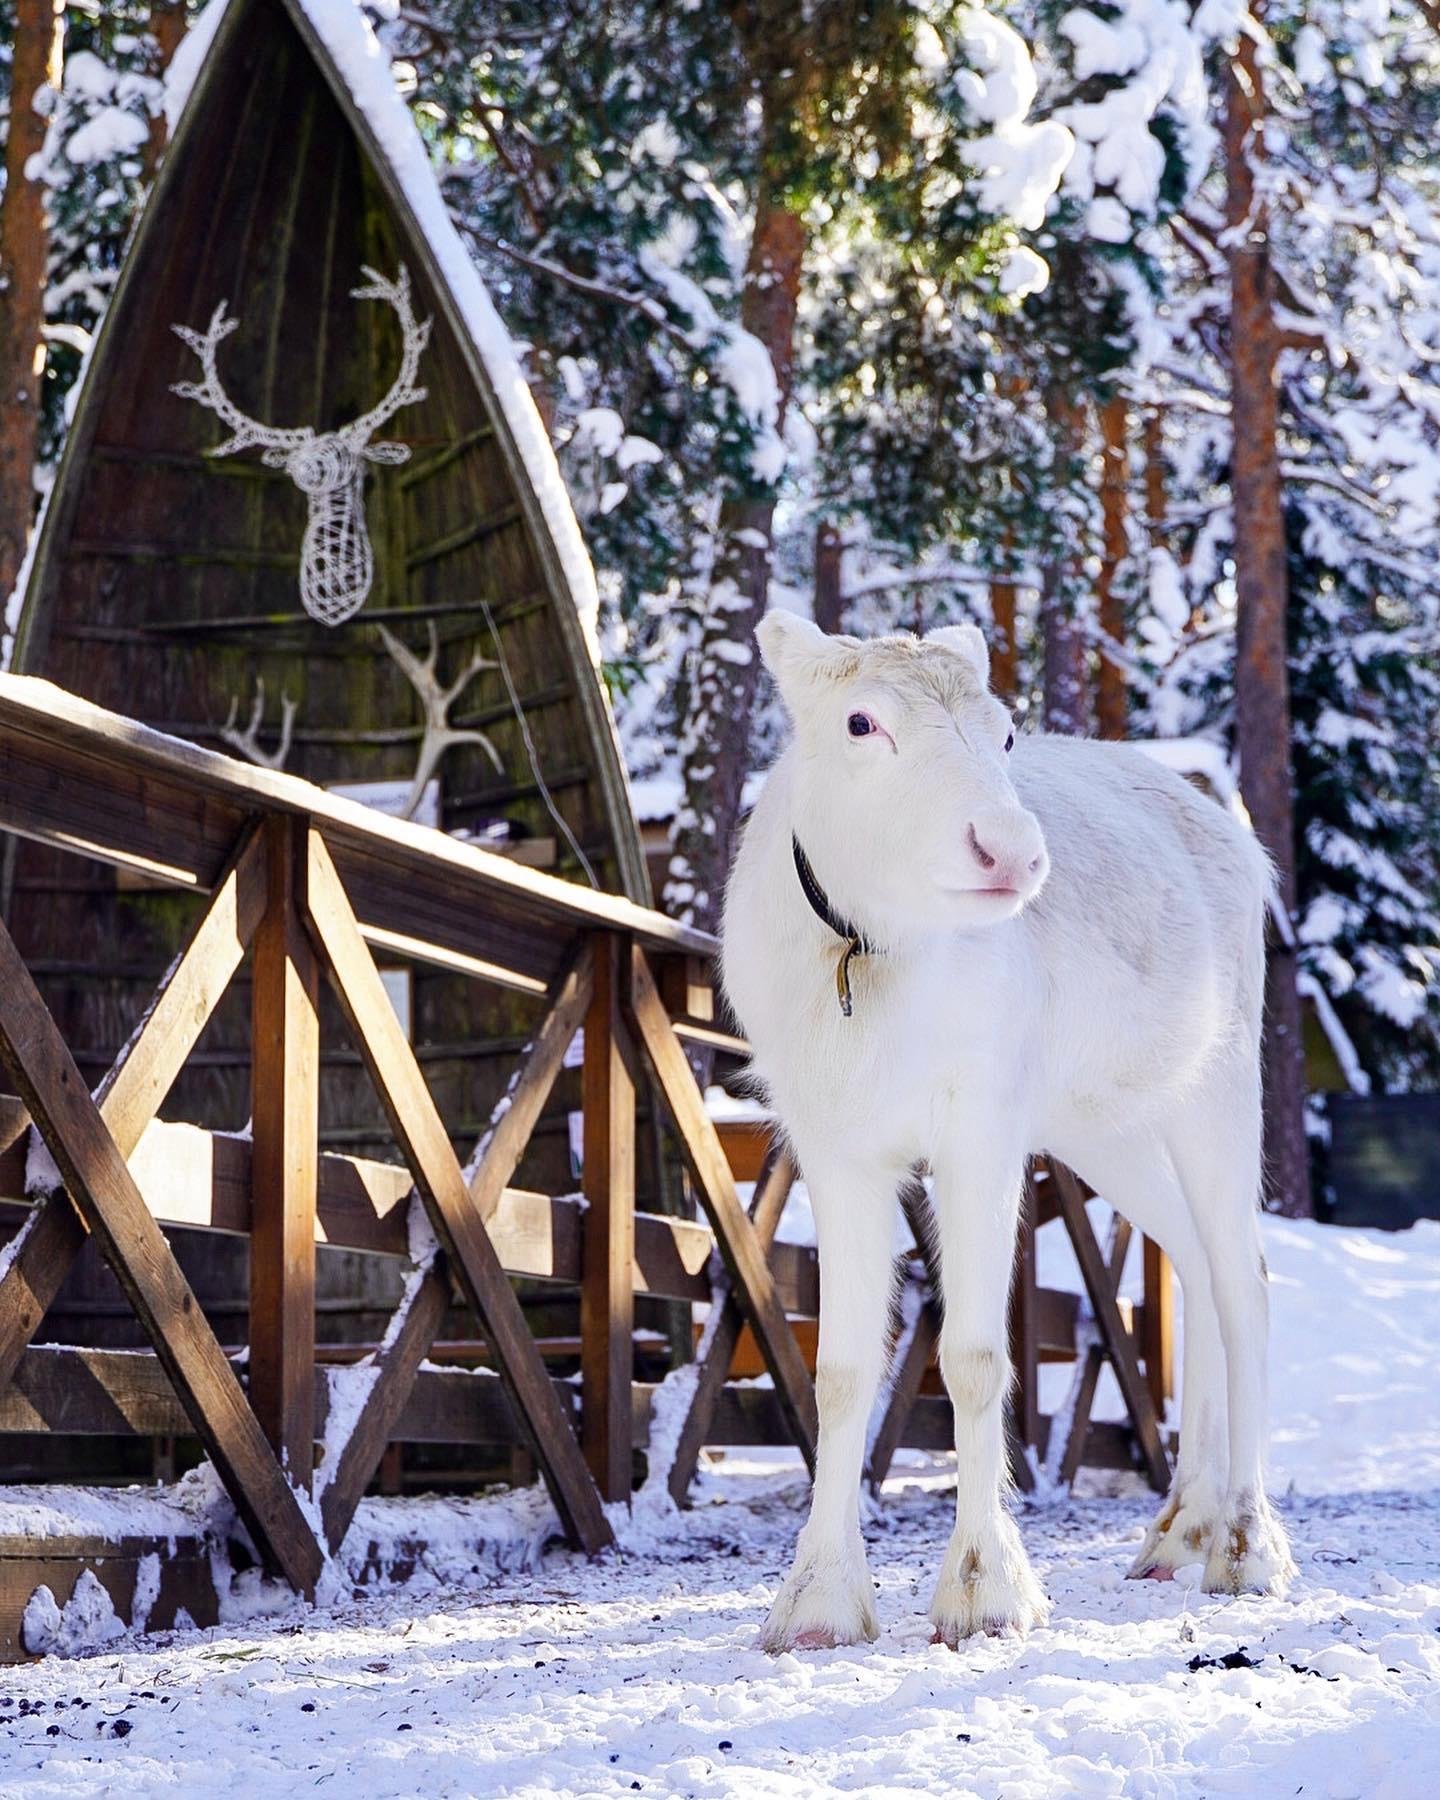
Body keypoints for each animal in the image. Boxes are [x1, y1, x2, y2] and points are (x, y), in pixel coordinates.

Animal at [721, 614, 1296, 1652]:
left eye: (1006, 733)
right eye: (862, 721)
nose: (1009, 851)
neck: (870, 962)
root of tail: (1240, 846)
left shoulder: (980, 1135)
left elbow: (977, 1357)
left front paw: (986, 1592)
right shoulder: (837, 1147)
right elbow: (841, 1370)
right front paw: (817, 1605)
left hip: (1220, 1084)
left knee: (1245, 1280)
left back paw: (1245, 1545)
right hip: (1104, 1128)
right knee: (1192, 1260)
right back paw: (1178, 1527)